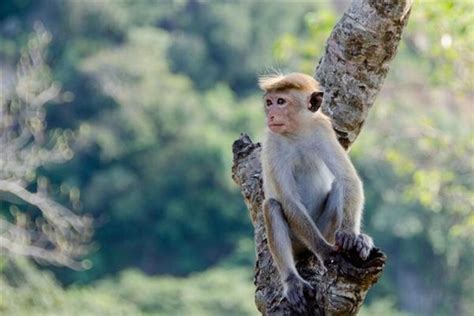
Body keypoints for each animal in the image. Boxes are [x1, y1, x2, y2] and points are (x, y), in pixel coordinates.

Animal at [260, 72, 374, 312]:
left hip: (324, 228)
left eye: (281, 101)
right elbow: (289, 201)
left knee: (339, 187)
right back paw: (293, 281)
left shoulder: (323, 130)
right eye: (269, 102)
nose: (272, 114)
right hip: (299, 240)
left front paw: (352, 236)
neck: (296, 133)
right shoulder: (273, 143)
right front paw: (326, 252)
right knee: (272, 206)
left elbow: (347, 179)